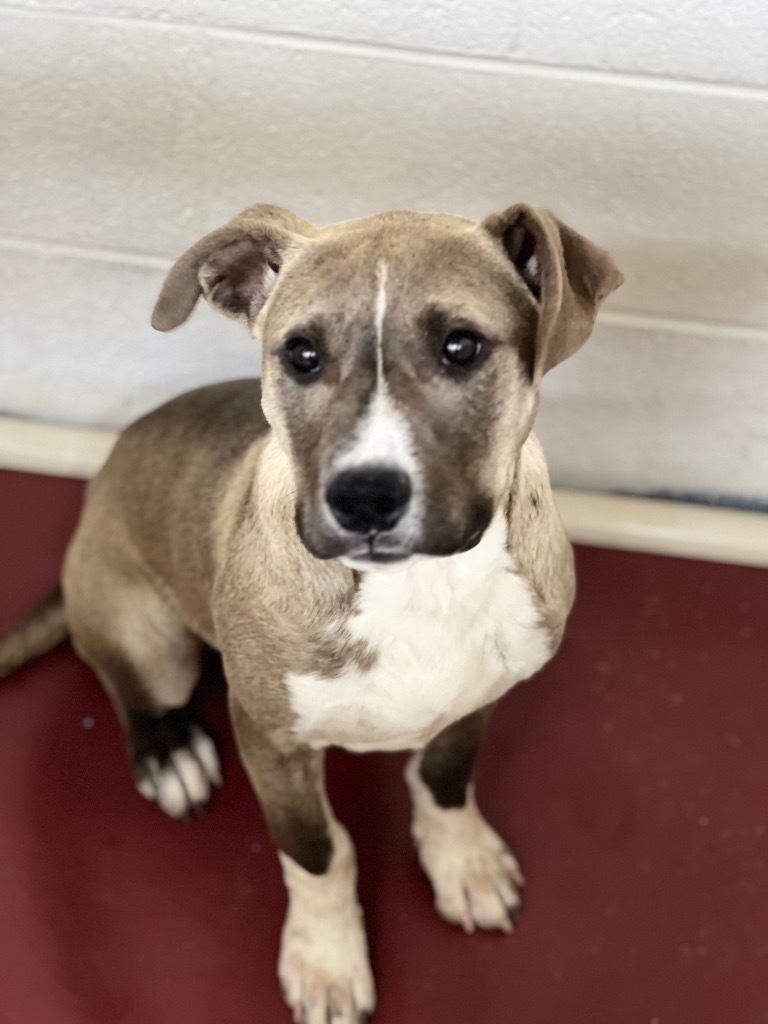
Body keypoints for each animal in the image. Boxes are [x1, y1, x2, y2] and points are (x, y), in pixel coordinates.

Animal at [0, 201, 622, 1024]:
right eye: (300, 355)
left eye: (461, 346)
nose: (364, 496)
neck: (419, 587)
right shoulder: (270, 737)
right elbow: (317, 854)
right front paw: (327, 959)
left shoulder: (481, 694)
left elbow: (445, 777)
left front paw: (462, 862)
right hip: (152, 644)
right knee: (124, 682)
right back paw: (169, 753)